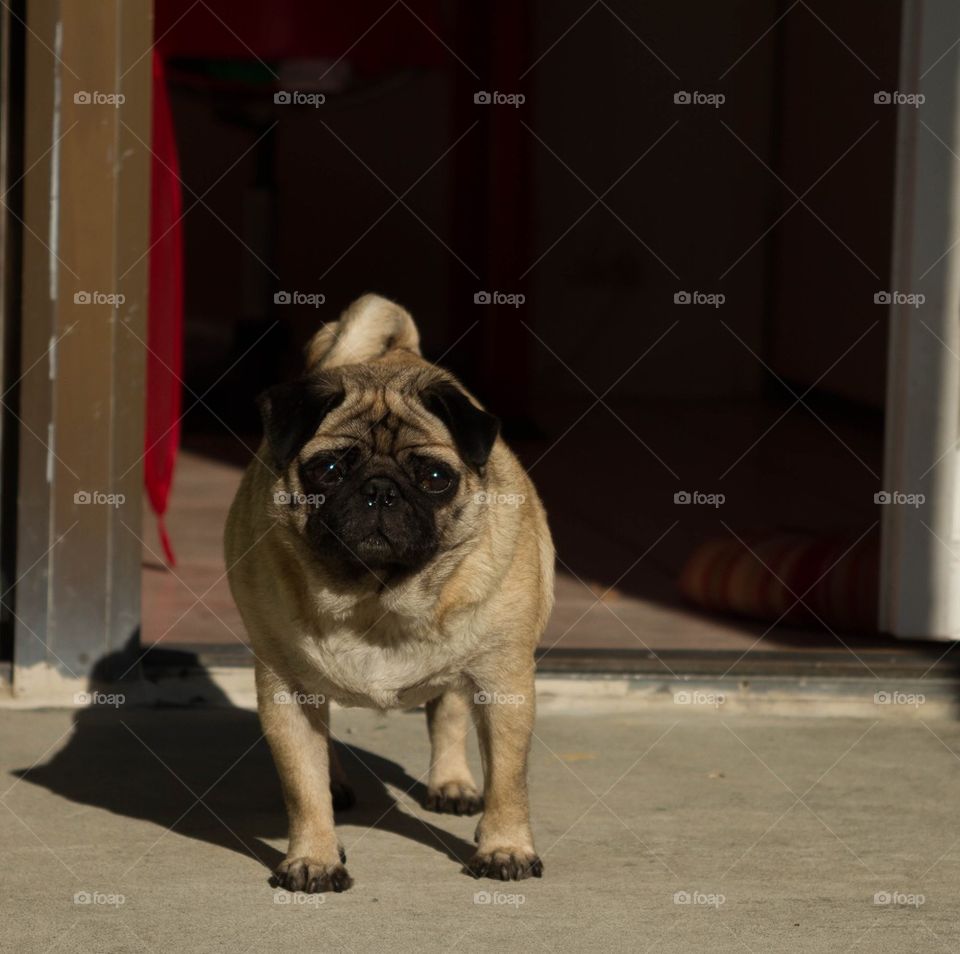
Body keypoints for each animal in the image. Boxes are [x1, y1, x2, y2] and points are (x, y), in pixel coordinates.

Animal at [225, 294, 556, 888]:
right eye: (328, 469)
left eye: (435, 478)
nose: (380, 490)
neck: (374, 598)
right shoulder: (286, 690)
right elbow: (301, 785)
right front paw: (314, 856)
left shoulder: (504, 680)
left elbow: (509, 780)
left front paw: (505, 849)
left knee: (448, 710)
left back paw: (452, 782)